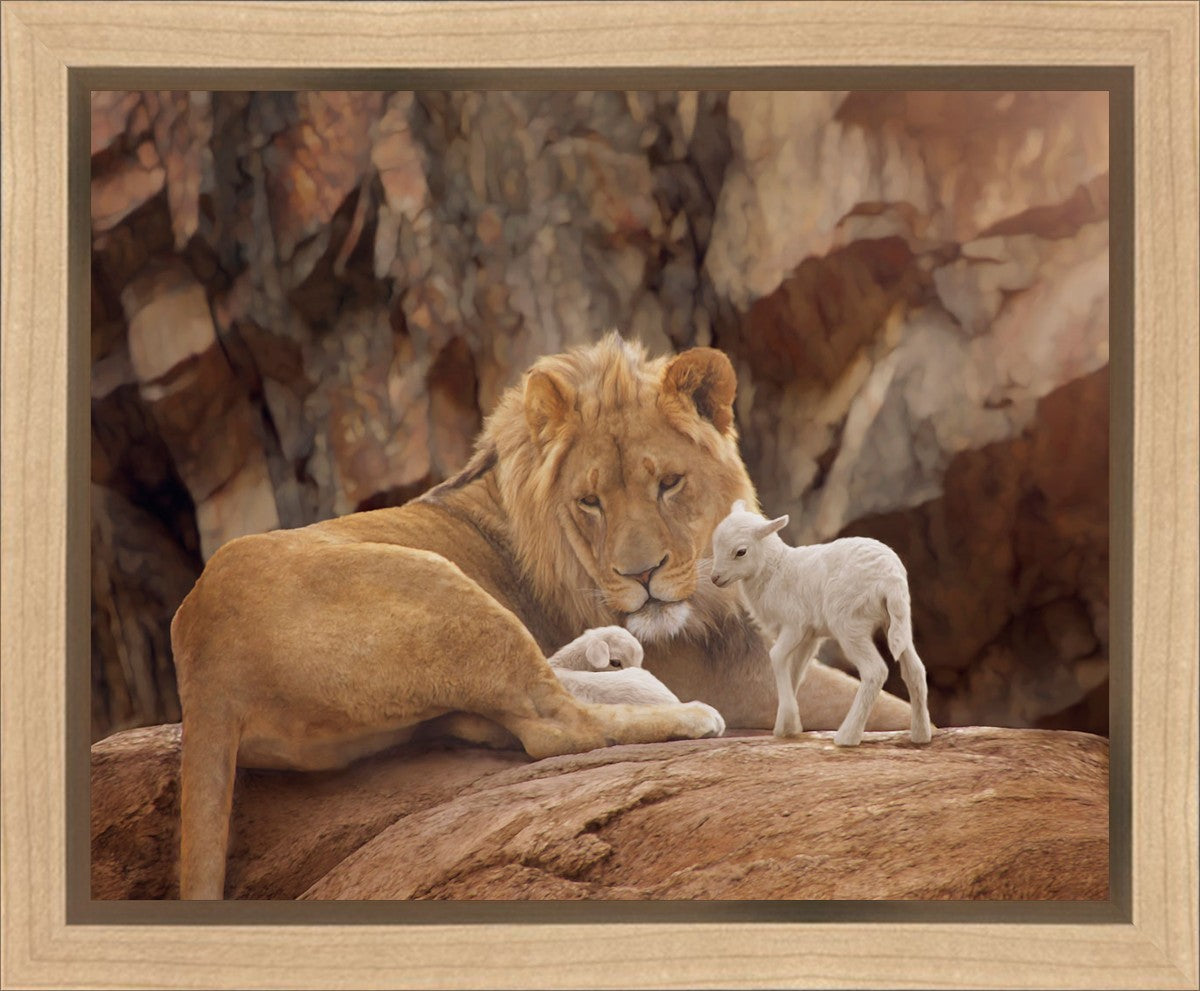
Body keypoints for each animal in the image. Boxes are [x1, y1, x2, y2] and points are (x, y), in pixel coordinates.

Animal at [709, 501, 932, 747]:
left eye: (741, 551)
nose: (715, 578)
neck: (775, 570)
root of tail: (890, 578)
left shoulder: (795, 624)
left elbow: (776, 656)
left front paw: (788, 721)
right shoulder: (809, 636)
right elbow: (796, 671)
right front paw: (787, 726)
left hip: (849, 623)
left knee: (875, 671)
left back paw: (847, 736)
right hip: (898, 621)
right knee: (915, 670)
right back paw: (921, 735)